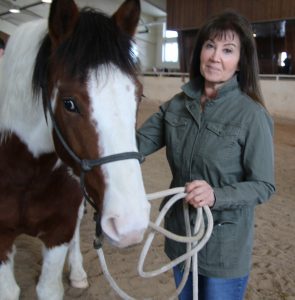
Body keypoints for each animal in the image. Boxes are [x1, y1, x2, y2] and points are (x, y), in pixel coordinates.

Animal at [0, 0, 149, 298]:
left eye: (138, 96)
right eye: (69, 103)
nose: (131, 224)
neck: (24, 170)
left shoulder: (60, 231)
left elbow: (49, 287)